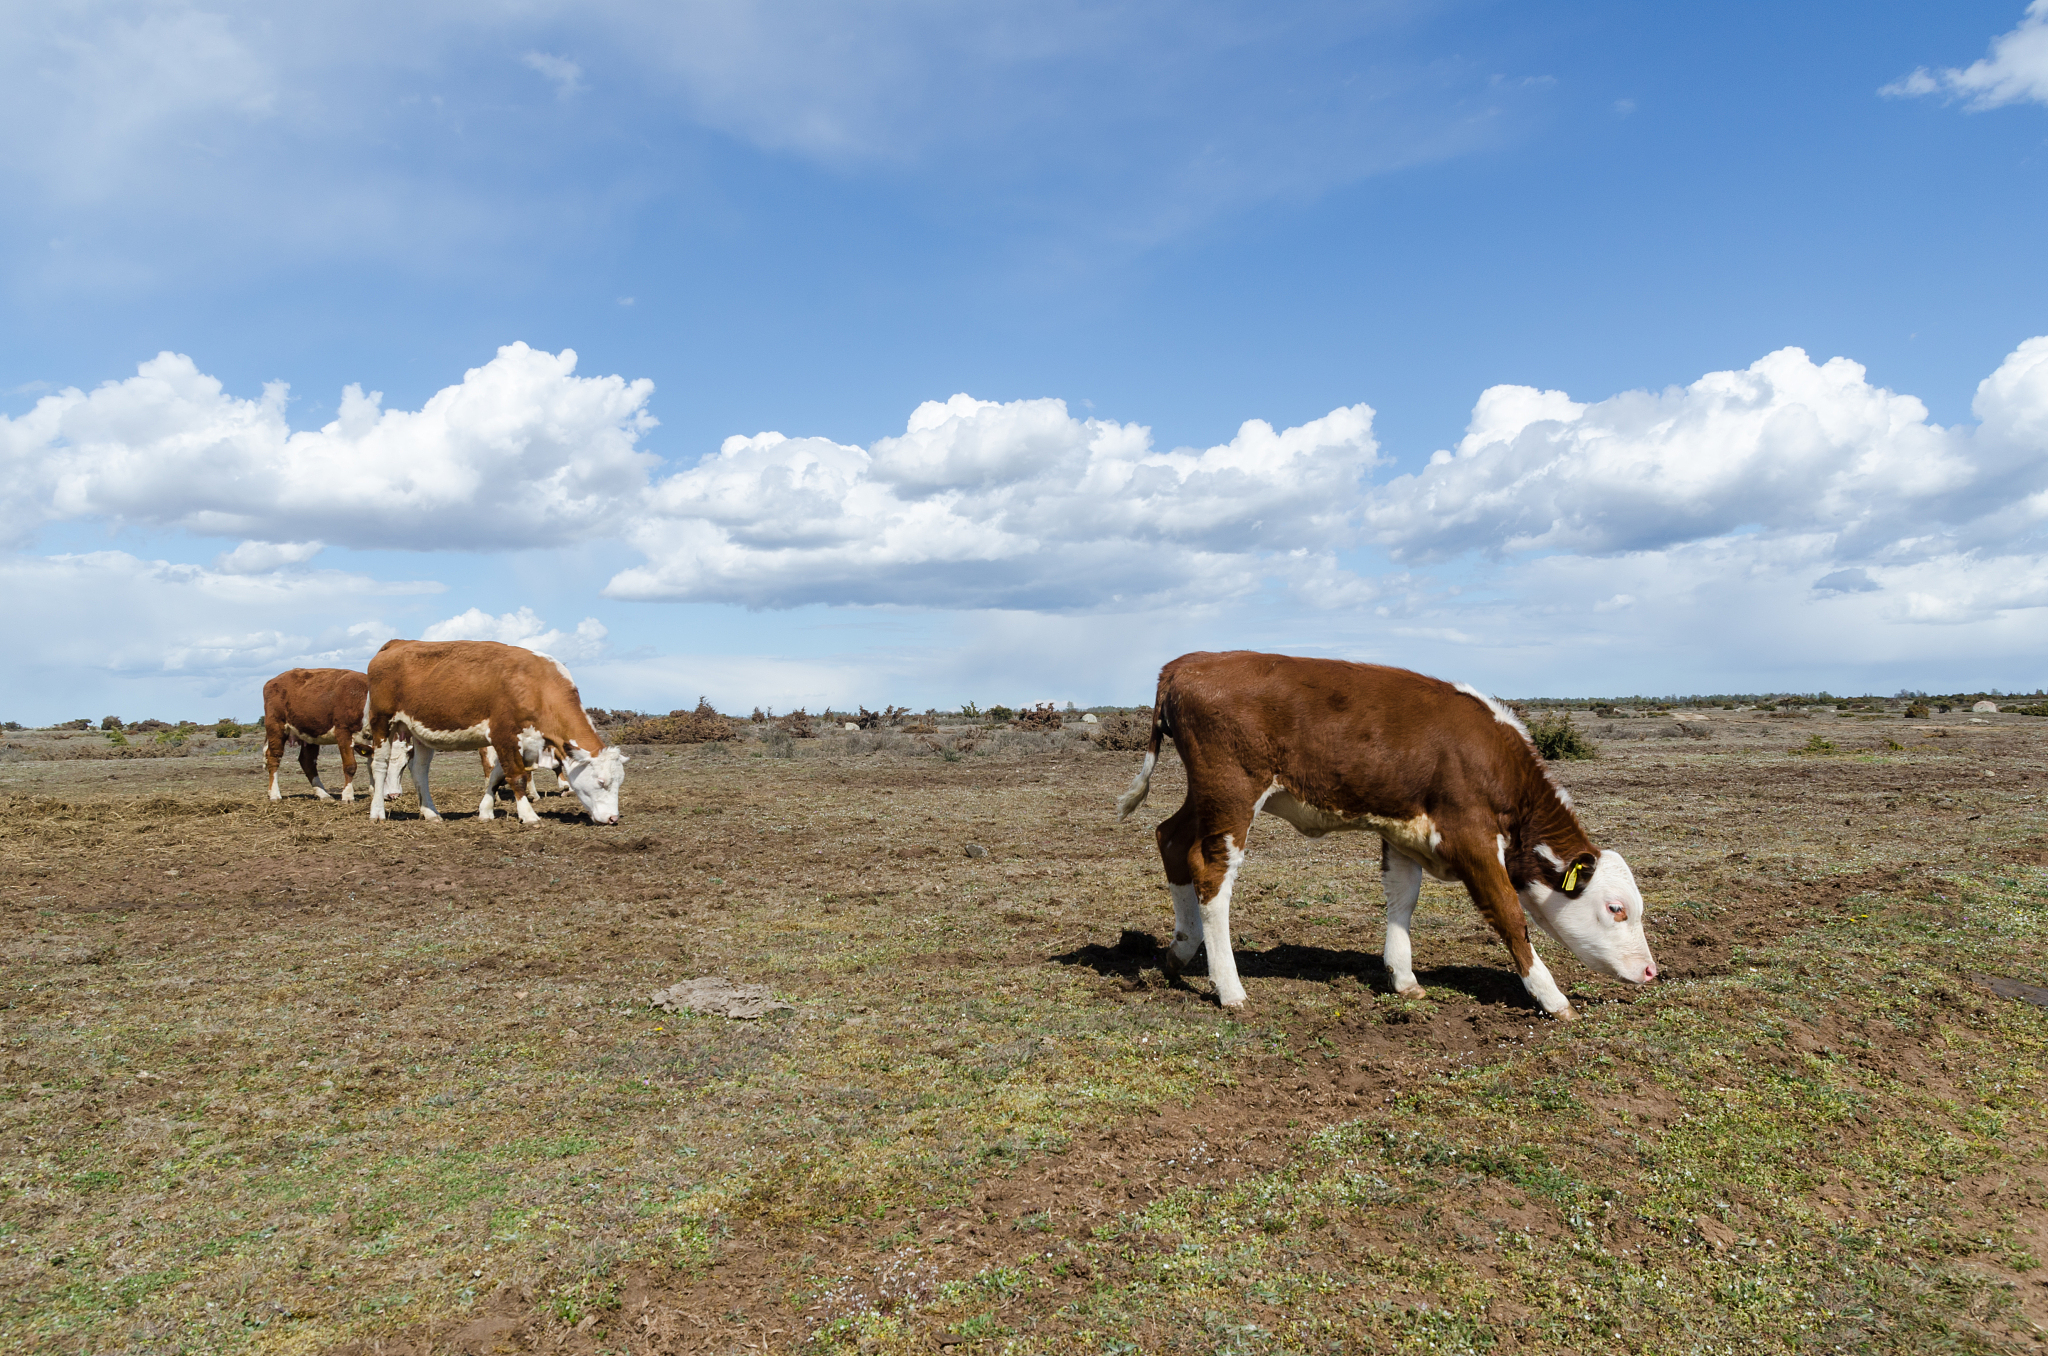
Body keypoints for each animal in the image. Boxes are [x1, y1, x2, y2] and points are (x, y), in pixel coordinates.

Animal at [261, 668, 408, 803]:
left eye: (404, 766)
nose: (393, 794)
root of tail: (273, 681)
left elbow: (369, 764)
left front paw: (373, 792)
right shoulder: (343, 732)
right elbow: (350, 766)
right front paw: (348, 796)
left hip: (310, 734)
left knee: (307, 761)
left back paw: (323, 794)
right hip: (276, 727)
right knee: (274, 758)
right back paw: (274, 795)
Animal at [364, 639, 626, 825]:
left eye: (619, 782)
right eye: (601, 782)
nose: (613, 818)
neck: (535, 686)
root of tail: (397, 643)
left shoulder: (522, 742)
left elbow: (497, 776)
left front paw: (486, 811)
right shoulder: (504, 736)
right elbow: (516, 776)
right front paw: (529, 815)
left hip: (419, 733)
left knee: (419, 770)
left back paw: (431, 813)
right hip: (382, 723)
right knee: (380, 765)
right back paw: (377, 812)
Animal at [1115, 651, 1656, 1021]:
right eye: (1616, 909)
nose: (1652, 972)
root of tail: (1186, 664)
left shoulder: (1403, 832)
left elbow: (1403, 899)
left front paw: (1403, 977)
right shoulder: (1472, 840)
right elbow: (1509, 916)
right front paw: (1552, 997)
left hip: (1206, 797)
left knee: (1170, 839)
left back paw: (1180, 951)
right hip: (1231, 794)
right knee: (1211, 875)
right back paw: (1230, 989)